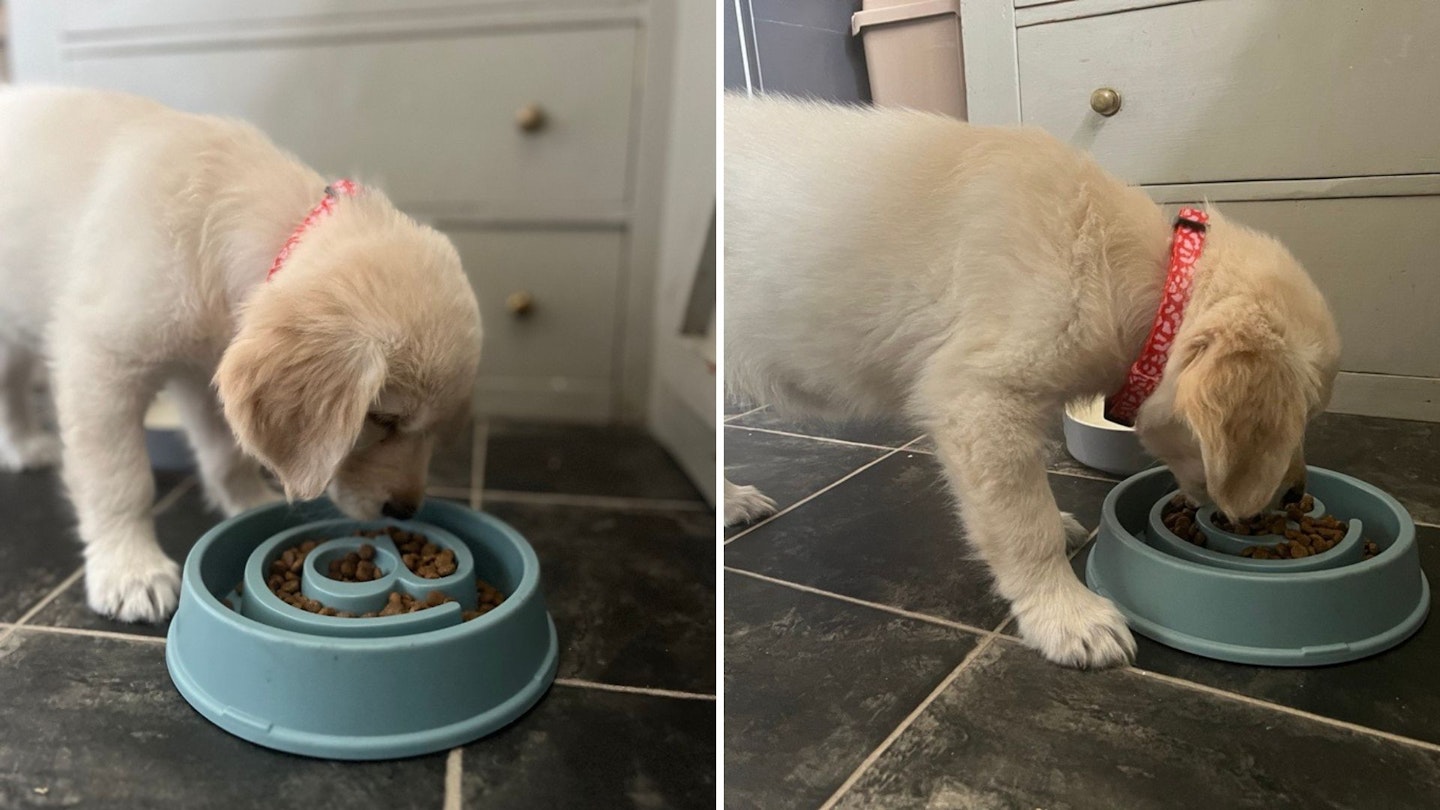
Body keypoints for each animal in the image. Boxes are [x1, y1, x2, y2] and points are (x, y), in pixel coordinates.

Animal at [0, 86, 483, 616]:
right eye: (383, 419)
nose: (405, 510)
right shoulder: (102, 363)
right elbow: (120, 478)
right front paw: (130, 569)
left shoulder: (206, 373)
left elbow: (226, 454)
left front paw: (248, 504)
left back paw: (25, 445)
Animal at [725, 91, 1342, 665]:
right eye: (1298, 420)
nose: (1295, 494)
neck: (1121, 268)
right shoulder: (980, 400)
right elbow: (1026, 525)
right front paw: (1066, 614)